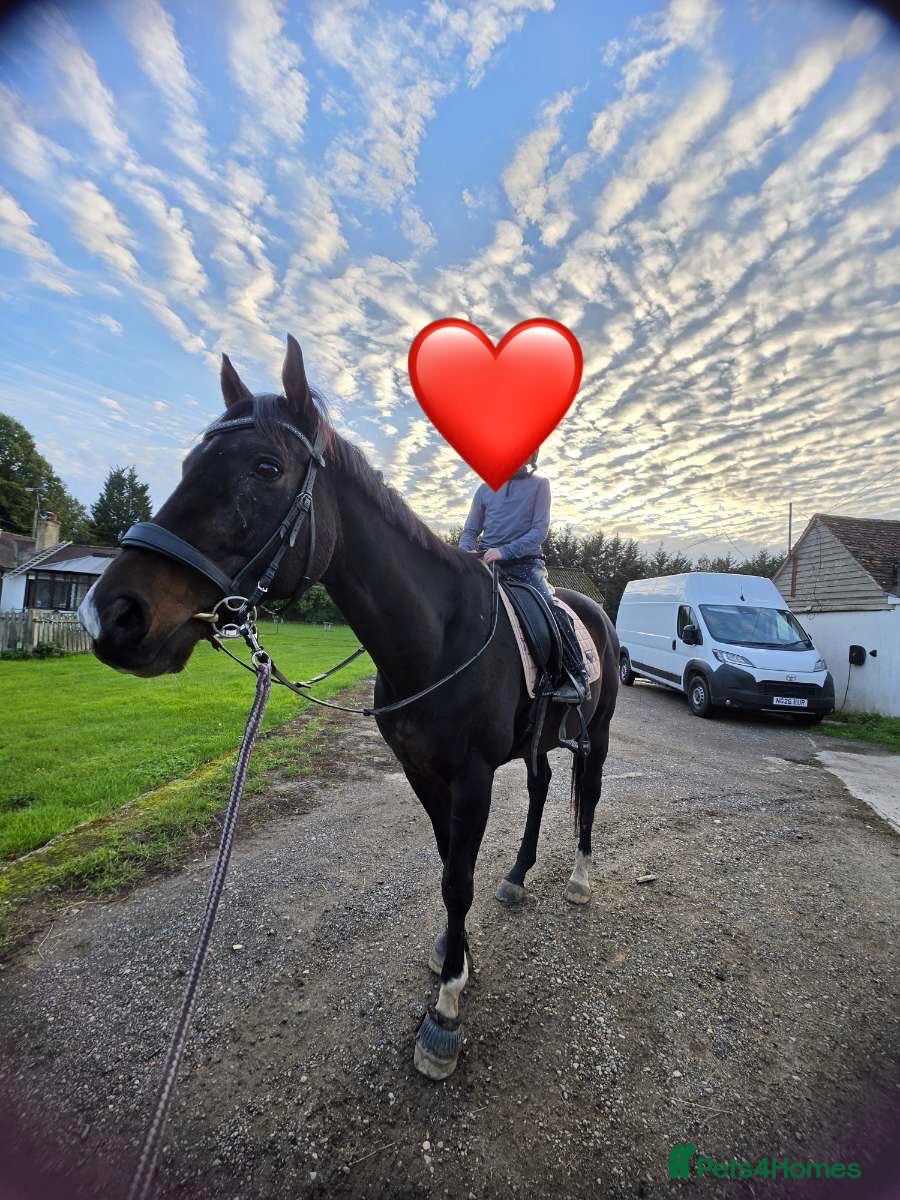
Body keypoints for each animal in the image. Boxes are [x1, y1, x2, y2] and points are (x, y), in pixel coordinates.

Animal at [79, 334, 619, 1080]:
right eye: (188, 464)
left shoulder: (472, 779)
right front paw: (454, 955)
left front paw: (445, 1010)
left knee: (586, 795)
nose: (113, 615)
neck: (437, 636)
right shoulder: (424, 773)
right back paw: (517, 877)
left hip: (599, 732)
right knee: (540, 790)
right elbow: (448, 863)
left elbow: (457, 879)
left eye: (267, 467)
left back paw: (580, 879)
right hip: (539, 743)